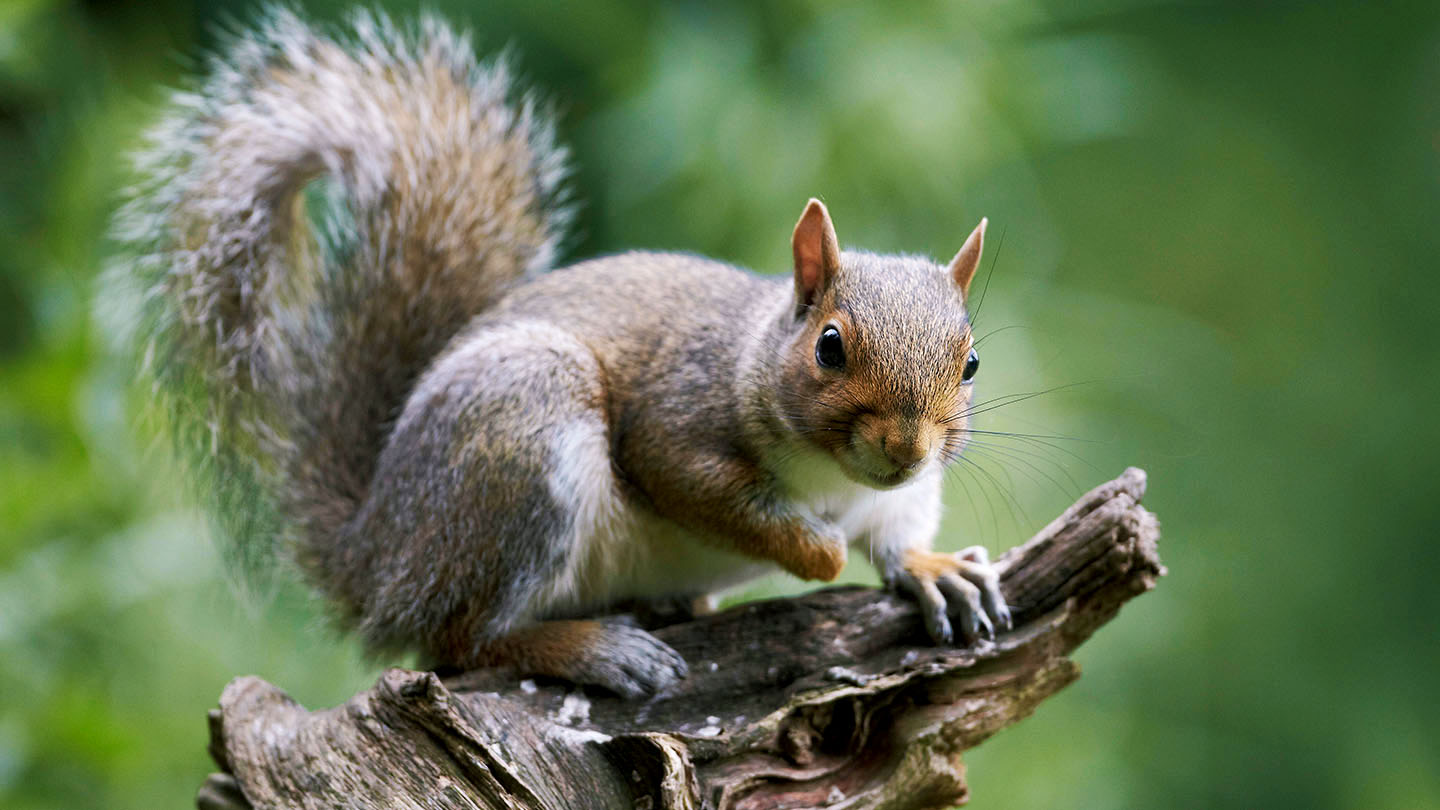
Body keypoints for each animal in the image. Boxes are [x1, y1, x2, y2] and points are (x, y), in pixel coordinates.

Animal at [112, 9, 1013, 694]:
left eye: (970, 363)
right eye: (829, 347)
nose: (905, 448)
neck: (832, 476)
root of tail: (372, 556)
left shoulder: (897, 494)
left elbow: (896, 528)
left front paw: (934, 567)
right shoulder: (674, 424)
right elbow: (706, 491)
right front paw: (820, 552)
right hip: (519, 437)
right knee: (457, 640)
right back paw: (594, 648)